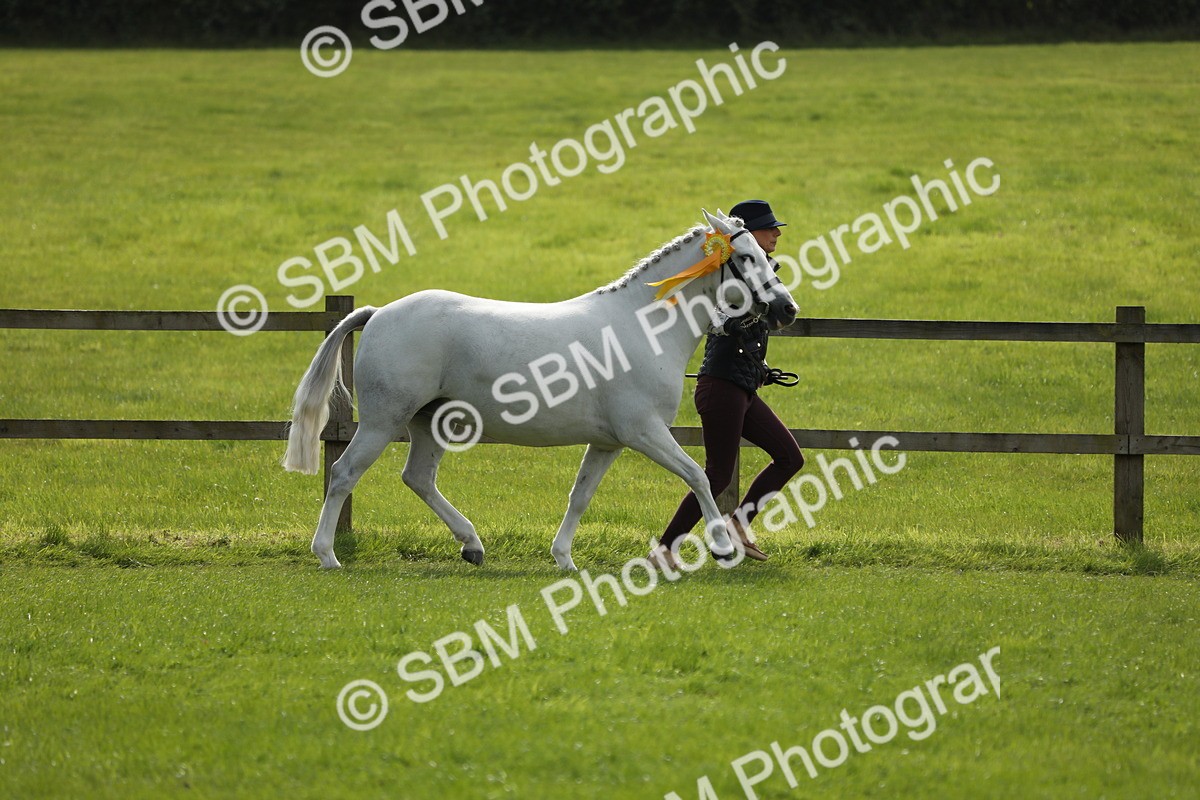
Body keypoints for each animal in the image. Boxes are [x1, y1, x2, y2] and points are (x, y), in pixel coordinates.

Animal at [282, 209, 798, 570]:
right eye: (747, 258)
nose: (787, 309)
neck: (641, 327)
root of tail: (379, 313)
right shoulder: (644, 432)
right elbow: (698, 476)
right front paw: (723, 548)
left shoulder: (609, 442)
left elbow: (580, 495)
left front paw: (563, 557)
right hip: (382, 421)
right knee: (344, 473)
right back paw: (327, 554)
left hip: (431, 423)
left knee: (418, 478)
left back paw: (472, 546)